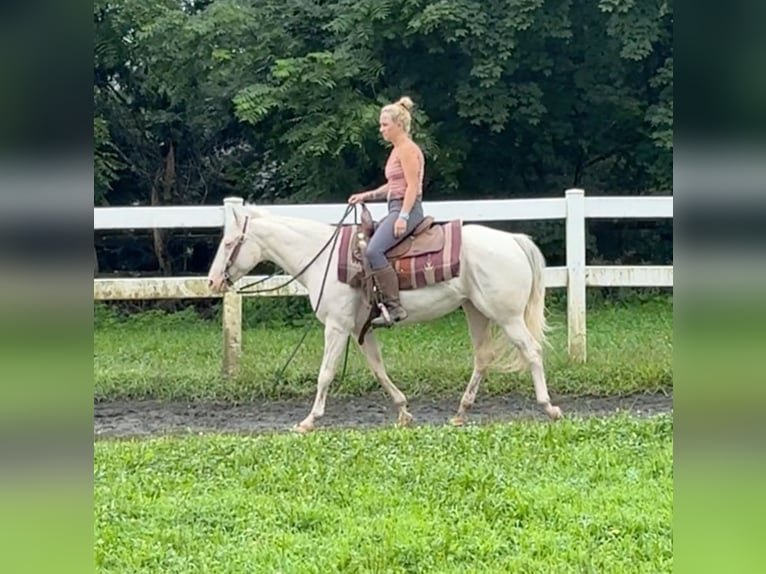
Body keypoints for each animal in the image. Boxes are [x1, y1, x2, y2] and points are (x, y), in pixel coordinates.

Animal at [206, 205, 564, 434]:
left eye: (229, 242)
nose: (212, 282)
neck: (322, 258)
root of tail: (514, 240)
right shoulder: (359, 330)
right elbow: (378, 369)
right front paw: (403, 411)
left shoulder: (336, 327)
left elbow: (325, 374)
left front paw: (308, 421)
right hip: (475, 311)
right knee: (483, 357)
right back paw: (461, 413)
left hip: (507, 315)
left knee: (532, 351)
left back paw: (549, 407)